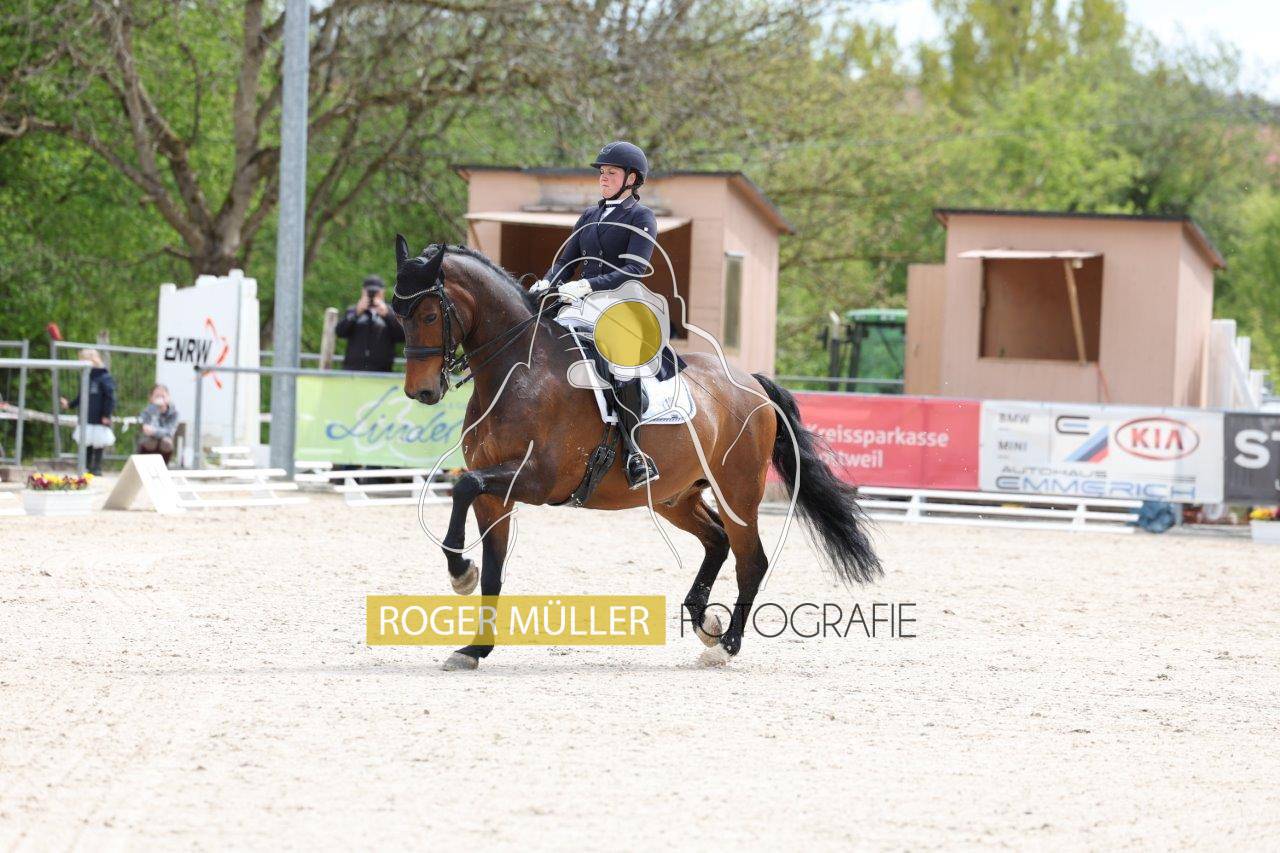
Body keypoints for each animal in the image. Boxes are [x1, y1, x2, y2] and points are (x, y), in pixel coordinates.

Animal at [391, 236, 881, 670]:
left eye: (430, 313)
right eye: (399, 314)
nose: (421, 392)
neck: (518, 371)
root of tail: (753, 385)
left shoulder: (537, 479)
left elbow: (463, 487)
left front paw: (460, 573)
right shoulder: (498, 493)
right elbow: (491, 563)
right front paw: (474, 647)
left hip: (737, 490)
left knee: (751, 559)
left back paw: (726, 645)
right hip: (674, 496)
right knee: (717, 540)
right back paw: (705, 622)